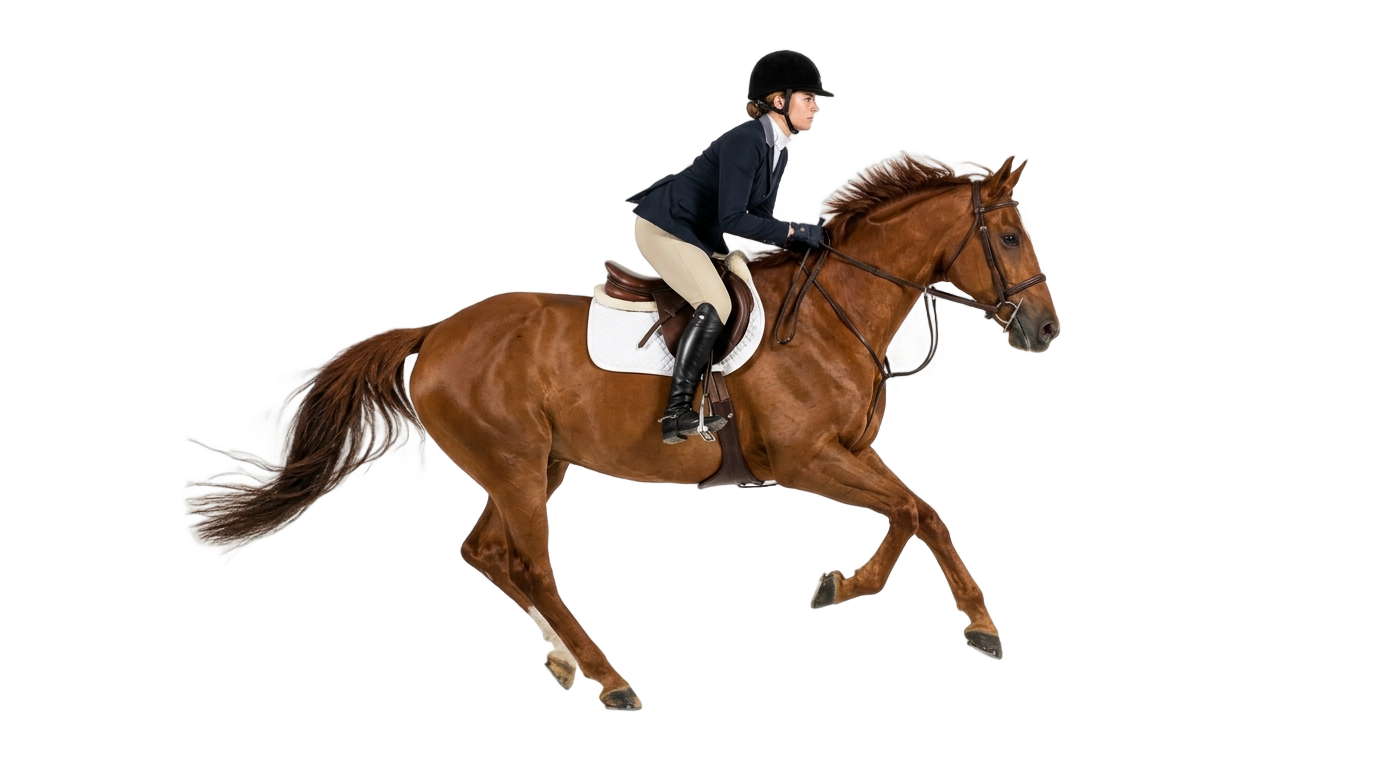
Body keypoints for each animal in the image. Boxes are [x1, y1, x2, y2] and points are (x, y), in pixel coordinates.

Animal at [193, 154, 1059, 709]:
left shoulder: (851, 451)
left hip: (533, 466)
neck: (831, 314)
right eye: (1011, 237)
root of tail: (436, 332)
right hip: (515, 466)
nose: (1046, 329)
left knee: (487, 552)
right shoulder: (803, 457)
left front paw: (901, 602)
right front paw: (907, 605)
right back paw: (611, 681)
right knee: (529, 564)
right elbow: (910, 509)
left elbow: (918, 511)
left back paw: (564, 663)